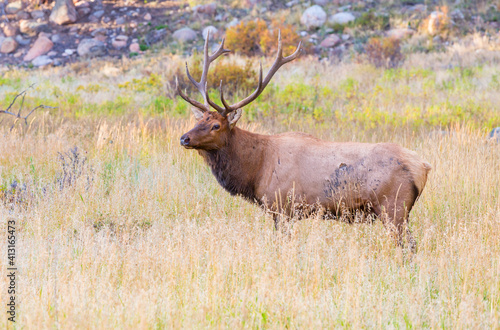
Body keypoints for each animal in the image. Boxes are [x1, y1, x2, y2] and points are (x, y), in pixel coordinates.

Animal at [178, 32, 432, 250]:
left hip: (393, 207)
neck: (256, 170)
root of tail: (423, 166)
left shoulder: (283, 207)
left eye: (216, 125)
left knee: (409, 245)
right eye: (200, 119)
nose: (184, 138)